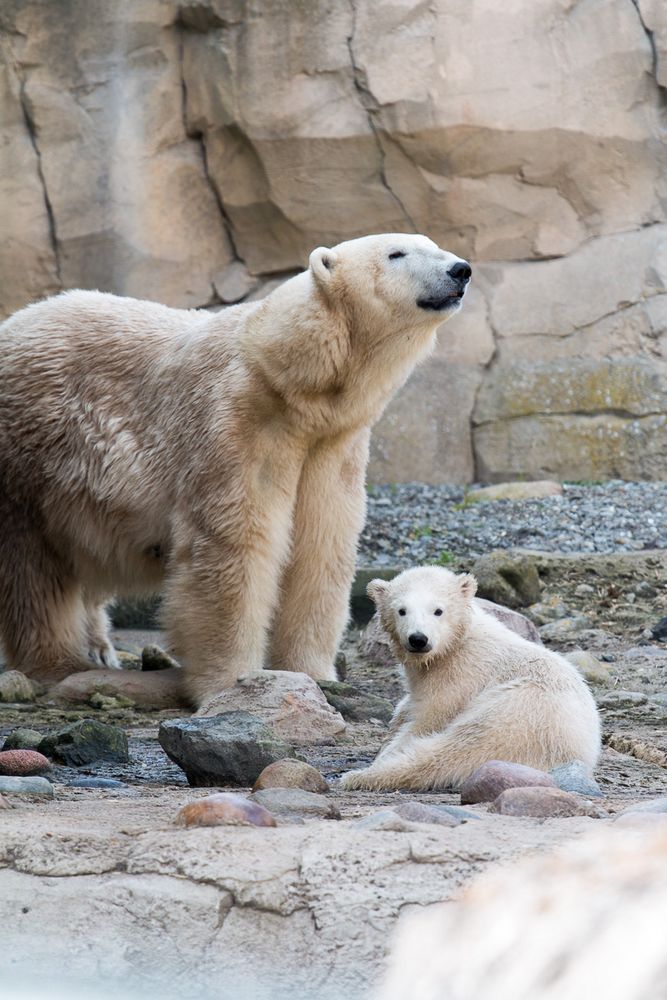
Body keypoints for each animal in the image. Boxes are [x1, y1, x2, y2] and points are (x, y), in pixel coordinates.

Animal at [0, 236, 472, 704]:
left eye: (433, 244)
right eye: (397, 253)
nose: (461, 270)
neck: (292, 383)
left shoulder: (331, 445)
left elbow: (319, 545)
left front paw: (315, 674)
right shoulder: (239, 424)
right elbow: (235, 545)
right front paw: (229, 682)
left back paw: (98, 650)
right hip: (31, 454)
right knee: (32, 567)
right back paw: (58, 661)